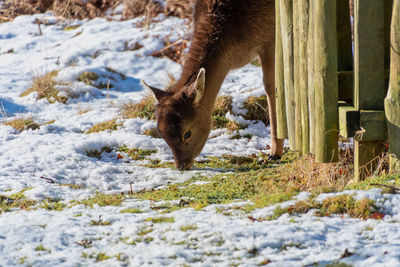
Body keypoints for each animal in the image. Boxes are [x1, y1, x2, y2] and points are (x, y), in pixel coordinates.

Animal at [142, 0, 282, 171]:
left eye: (187, 133)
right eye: (162, 134)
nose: (180, 165)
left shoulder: (270, 39)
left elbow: (271, 86)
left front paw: (275, 153)